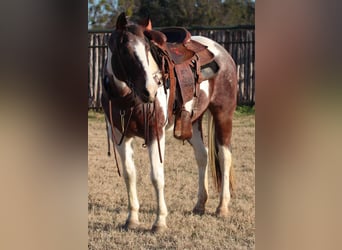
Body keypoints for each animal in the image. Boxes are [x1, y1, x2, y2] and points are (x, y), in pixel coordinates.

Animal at [100, 12, 236, 232]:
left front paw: (159, 222)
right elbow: (130, 175)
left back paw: (222, 207)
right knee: (203, 155)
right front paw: (132, 219)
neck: (128, 97)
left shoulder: (156, 133)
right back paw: (200, 204)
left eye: (148, 49)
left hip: (223, 114)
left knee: (224, 157)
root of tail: (222, 52)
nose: (150, 90)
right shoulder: (119, 135)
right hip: (193, 122)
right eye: (125, 49)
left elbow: (157, 176)